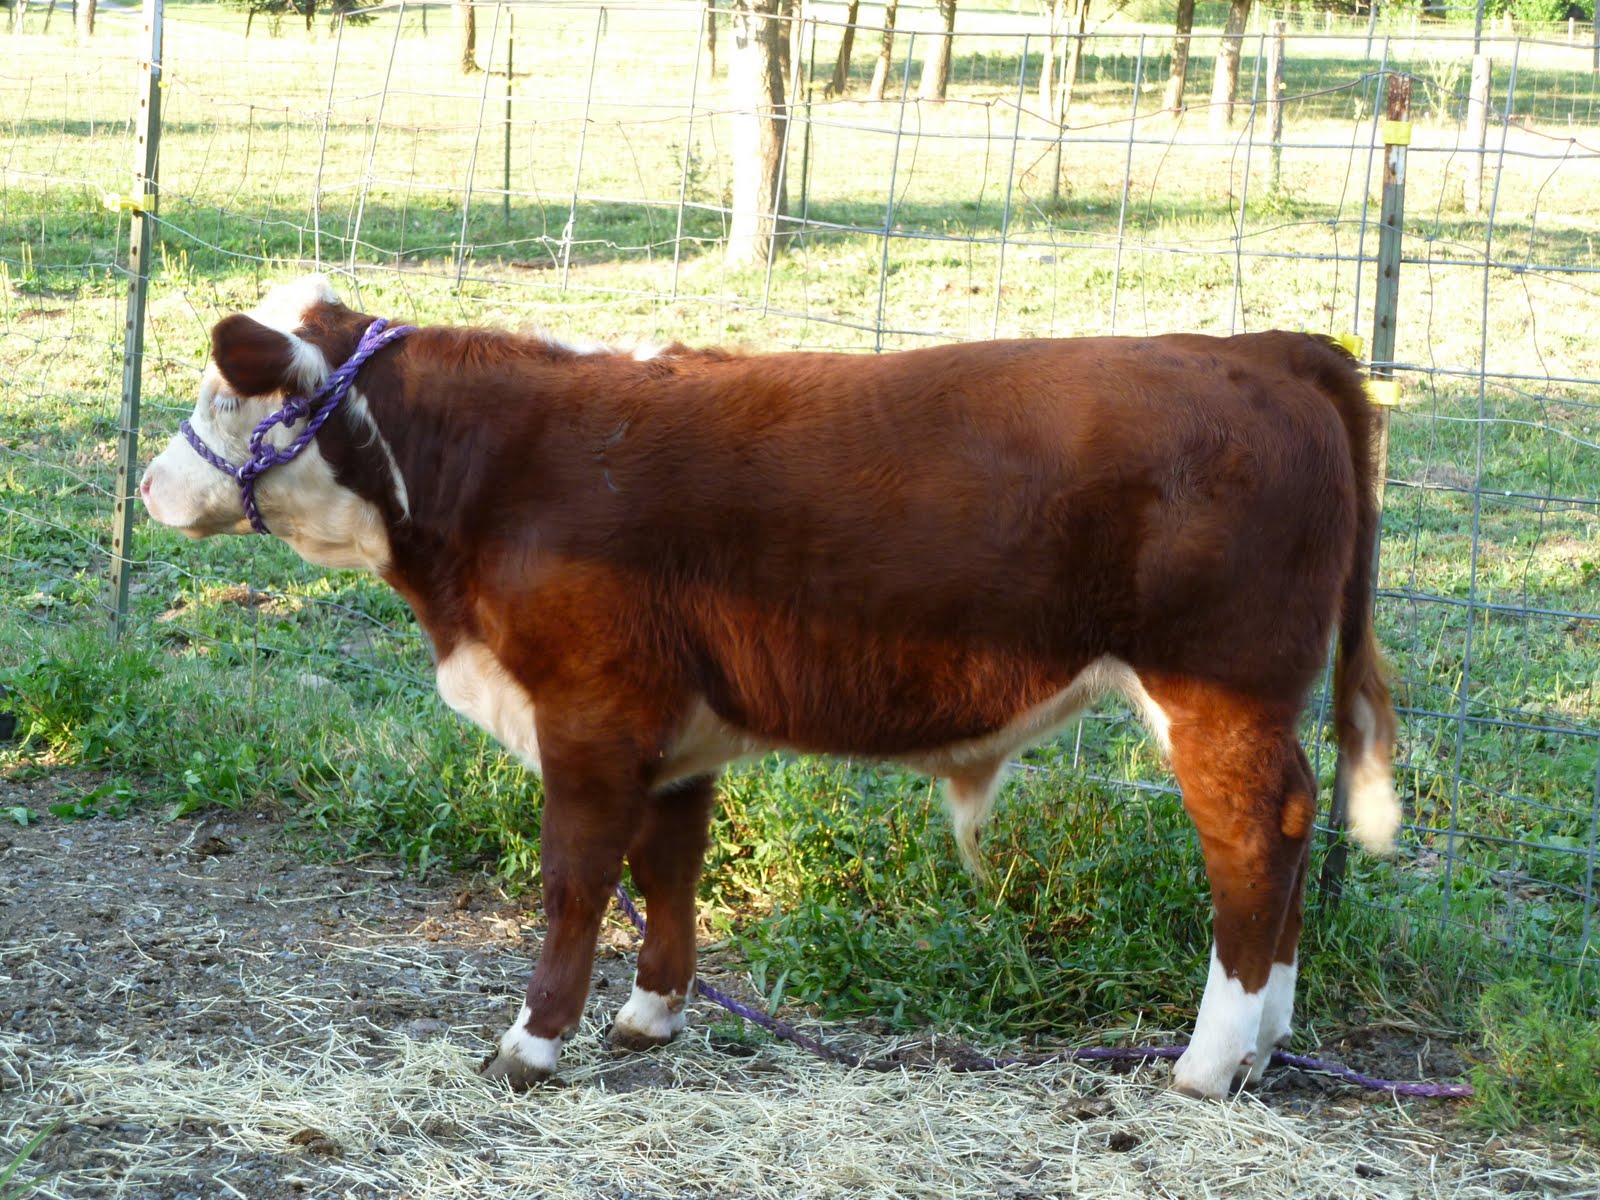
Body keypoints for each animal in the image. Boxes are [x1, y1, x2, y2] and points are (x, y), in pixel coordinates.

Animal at [140, 275, 1400, 1099]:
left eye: (223, 395)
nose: (150, 486)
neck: (497, 471)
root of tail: (1267, 348)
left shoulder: (589, 711)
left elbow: (574, 880)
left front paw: (531, 1043)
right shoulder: (671, 728)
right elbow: (669, 867)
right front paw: (648, 1015)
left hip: (1216, 687)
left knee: (1254, 838)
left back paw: (1207, 1060)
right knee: (1290, 832)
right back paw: (1263, 1045)